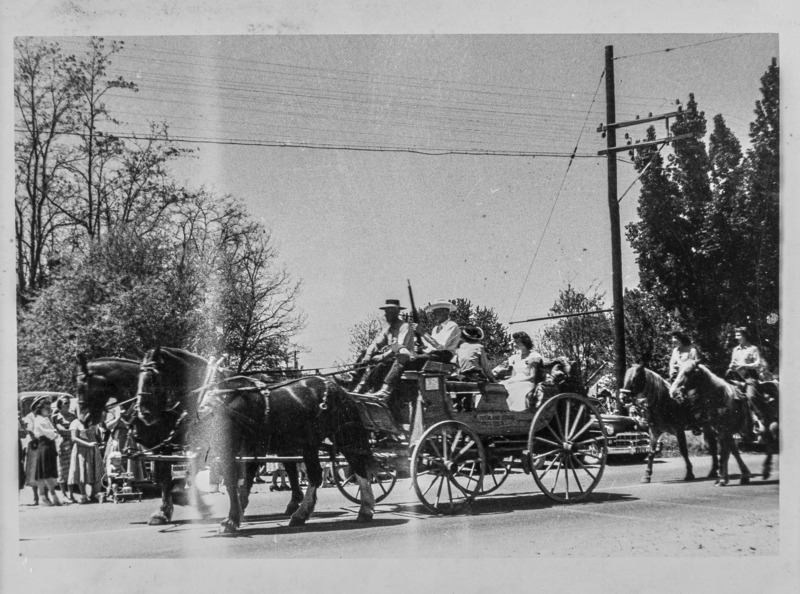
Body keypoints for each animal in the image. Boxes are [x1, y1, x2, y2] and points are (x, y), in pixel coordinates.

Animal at [198, 370, 376, 532]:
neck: (228, 399)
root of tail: (337, 388)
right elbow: (234, 482)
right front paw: (235, 516)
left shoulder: (253, 448)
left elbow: (242, 481)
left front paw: (232, 519)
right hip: (311, 444)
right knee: (319, 473)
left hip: (343, 437)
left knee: (353, 467)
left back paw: (363, 509)